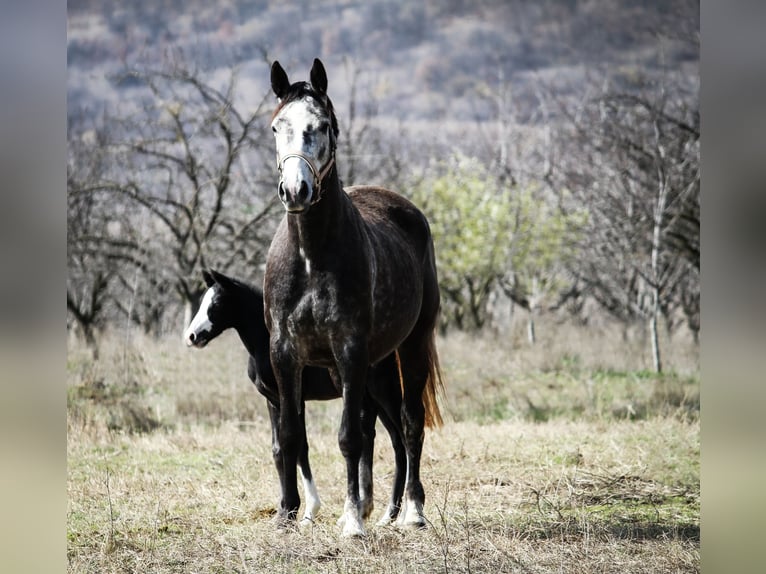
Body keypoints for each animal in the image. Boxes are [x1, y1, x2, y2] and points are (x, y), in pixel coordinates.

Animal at [183, 272, 408, 532]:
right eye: (202, 301)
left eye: (217, 304)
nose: (191, 337)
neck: (264, 342)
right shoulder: (273, 401)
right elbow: (279, 449)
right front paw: (292, 511)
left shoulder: (296, 399)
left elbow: (300, 446)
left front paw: (307, 512)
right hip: (371, 400)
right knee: (385, 440)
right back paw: (380, 514)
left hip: (385, 395)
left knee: (403, 439)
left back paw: (397, 515)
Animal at [266, 59, 448, 540]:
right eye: (276, 127)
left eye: (323, 126)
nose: (296, 191)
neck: (311, 255)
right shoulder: (285, 354)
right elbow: (291, 436)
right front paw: (287, 514)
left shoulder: (349, 351)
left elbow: (348, 437)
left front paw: (350, 522)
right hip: (372, 364)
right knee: (376, 430)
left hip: (411, 346)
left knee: (409, 424)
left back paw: (412, 511)